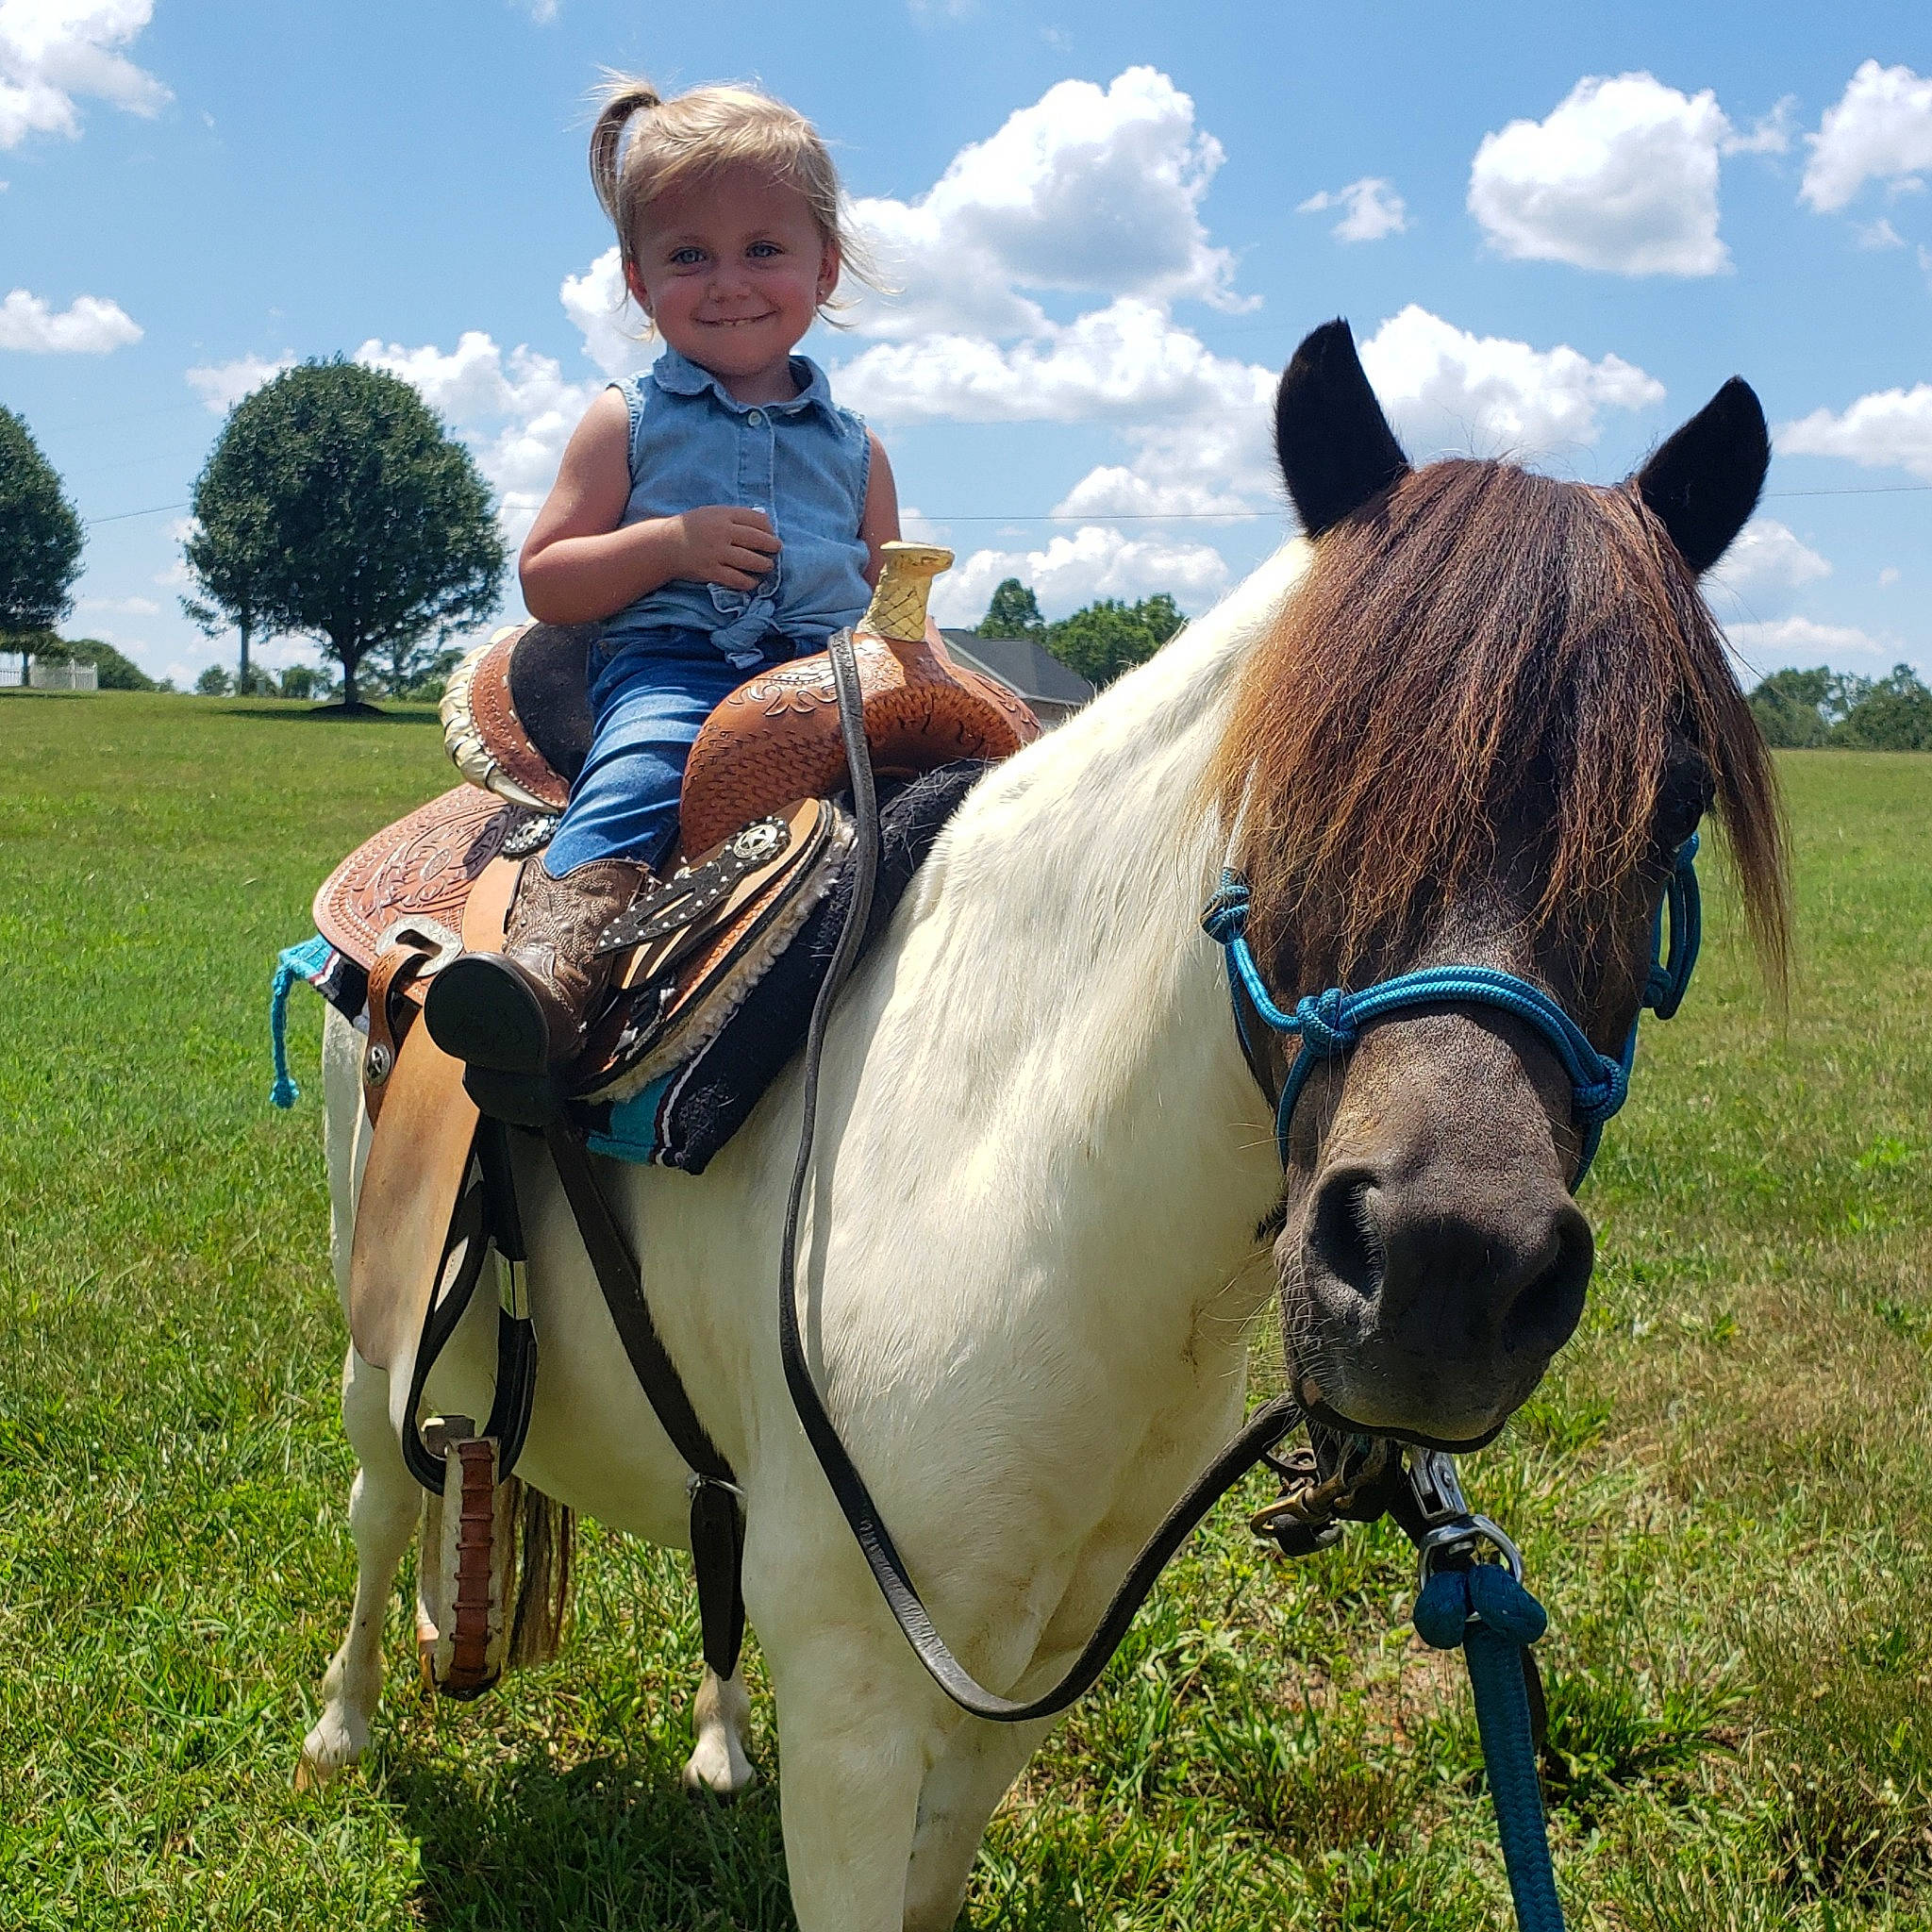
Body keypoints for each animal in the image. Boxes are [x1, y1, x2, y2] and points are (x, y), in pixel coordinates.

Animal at [298, 321, 1787, 1932]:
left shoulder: (1019, 1675)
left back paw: (711, 1740)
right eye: (1304, 761)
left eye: (1676, 803)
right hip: (379, 1331)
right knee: (383, 1507)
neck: (1009, 1167)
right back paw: (344, 1724)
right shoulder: (861, 1707)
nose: (1445, 1276)